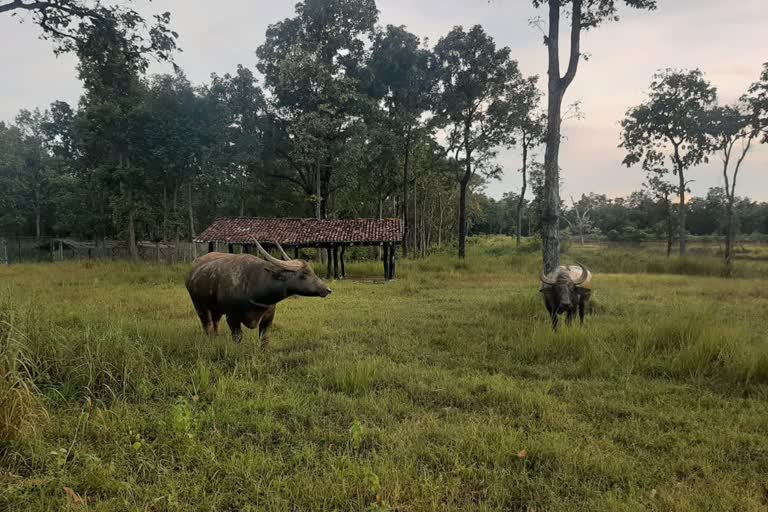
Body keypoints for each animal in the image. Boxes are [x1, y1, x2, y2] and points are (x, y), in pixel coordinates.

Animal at [188, 242, 332, 346]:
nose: (327, 289)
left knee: (215, 321)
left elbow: (264, 338)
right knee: (206, 324)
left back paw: (216, 337)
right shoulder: (232, 317)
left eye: (312, 271)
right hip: (199, 305)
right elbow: (237, 337)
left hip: (215, 308)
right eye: (303, 274)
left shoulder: (269, 317)